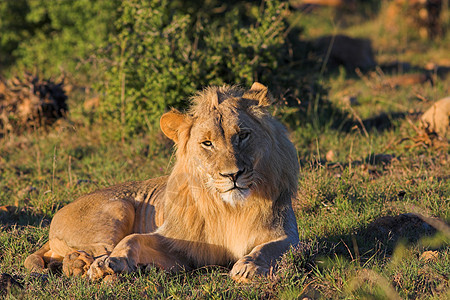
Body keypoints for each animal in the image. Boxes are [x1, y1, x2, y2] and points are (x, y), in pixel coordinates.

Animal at [23, 81, 298, 282]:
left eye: (242, 135)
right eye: (207, 143)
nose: (232, 175)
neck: (228, 208)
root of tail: (57, 216)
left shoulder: (287, 234)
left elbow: (270, 248)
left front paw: (248, 267)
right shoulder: (176, 243)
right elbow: (132, 239)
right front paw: (112, 263)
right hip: (118, 208)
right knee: (88, 252)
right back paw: (88, 265)